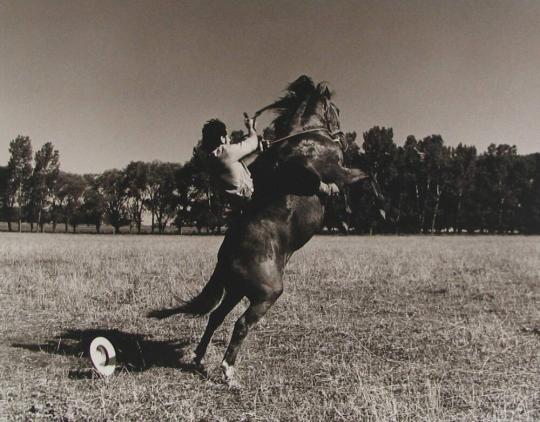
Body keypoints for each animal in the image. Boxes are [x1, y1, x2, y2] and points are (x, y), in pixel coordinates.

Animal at [148, 75, 368, 386]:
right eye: (335, 109)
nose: (343, 137)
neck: (304, 138)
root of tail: (225, 259)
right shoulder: (337, 170)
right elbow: (364, 177)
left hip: (235, 290)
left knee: (215, 317)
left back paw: (199, 357)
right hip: (266, 294)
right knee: (240, 324)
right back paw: (228, 372)